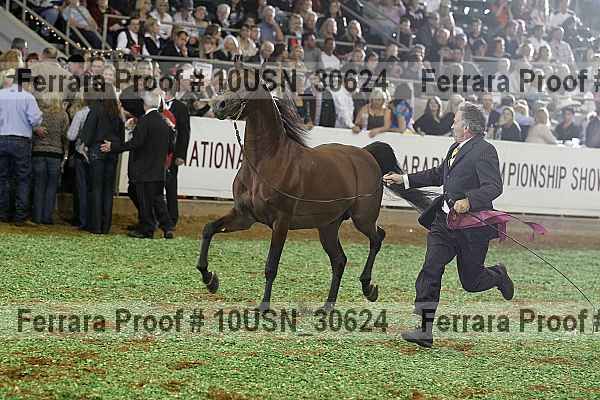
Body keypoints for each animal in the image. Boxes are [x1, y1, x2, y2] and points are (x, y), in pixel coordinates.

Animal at [196, 67, 431, 311]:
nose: (218, 105)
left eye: (249, 84)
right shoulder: (245, 216)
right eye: (228, 80)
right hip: (328, 226)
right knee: (340, 260)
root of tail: (366, 154)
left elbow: (271, 265)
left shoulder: (281, 222)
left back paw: (368, 288)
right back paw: (327, 306)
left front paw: (263, 306)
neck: (265, 163)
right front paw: (210, 280)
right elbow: (208, 229)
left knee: (377, 238)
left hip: (362, 218)